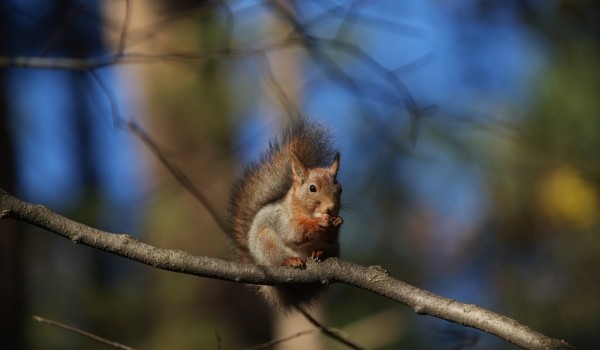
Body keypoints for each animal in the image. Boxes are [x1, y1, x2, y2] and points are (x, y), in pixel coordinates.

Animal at [229, 117, 344, 308]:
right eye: (312, 188)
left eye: (340, 189)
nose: (331, 208)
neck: (308, 212)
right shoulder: (283, 218)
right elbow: (294, 233)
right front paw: (319, 223)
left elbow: (330, 238)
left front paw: (336, 222)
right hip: (267, 244)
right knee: (278, 258)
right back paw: (290, 261)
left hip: (335, 249)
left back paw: (319, 253)